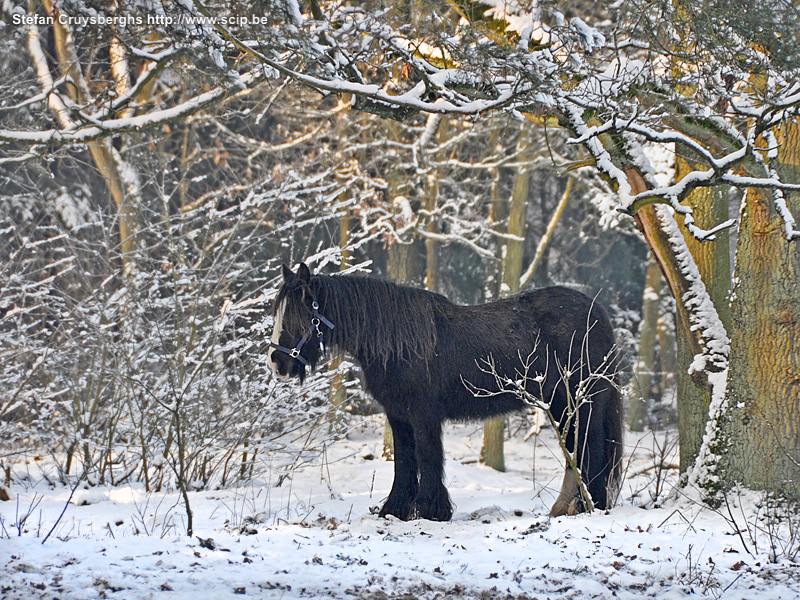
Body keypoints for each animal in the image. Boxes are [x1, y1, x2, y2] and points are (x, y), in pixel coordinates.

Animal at [272, 262, 620, 520]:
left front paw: (431, 510)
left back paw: (592, 507)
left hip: (582, 403)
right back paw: (566, 508)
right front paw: (395, 510)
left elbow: (427, 458)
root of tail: (598, 313)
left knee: (589, 451)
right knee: (574, 454)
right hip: (562, 407)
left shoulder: (423, 415)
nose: (277, 363)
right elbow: (404, 461)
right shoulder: (398, 415)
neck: (396, 342)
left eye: (299, 314)